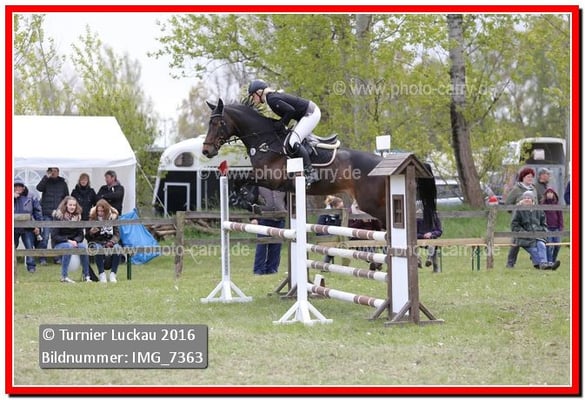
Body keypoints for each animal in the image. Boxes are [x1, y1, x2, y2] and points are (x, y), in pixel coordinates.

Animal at [202, 98, 434, 227]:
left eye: (218, 123)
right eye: (209, 122)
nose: (206, 150)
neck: (265, 140)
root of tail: (382, 162)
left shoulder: (271, 179)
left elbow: (241, 181)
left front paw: (251, 203)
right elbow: (239, 182)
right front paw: (249, 202)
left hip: (370, 202)